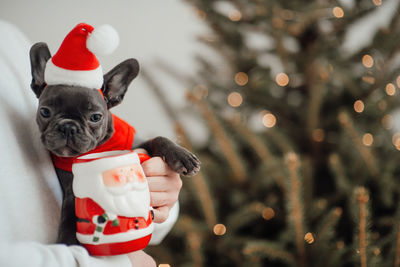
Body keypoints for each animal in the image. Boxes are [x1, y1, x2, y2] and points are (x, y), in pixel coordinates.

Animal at [29, 42, 202, 247]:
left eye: (96, 117)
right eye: (45, 112)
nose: (68, 127)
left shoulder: (137, 143)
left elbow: (158, 139)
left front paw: (182, 156)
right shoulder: (72, 189)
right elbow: (70, 215)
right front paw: (69, 242)